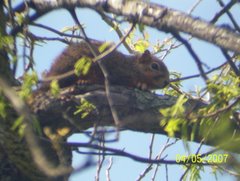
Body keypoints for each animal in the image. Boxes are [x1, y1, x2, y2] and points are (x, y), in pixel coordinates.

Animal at [40, 40, 169, 90]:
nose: (166, 82)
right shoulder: (119, 72)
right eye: (154, 66)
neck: (132, 67)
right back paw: (84, 81)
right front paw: (141, 84)